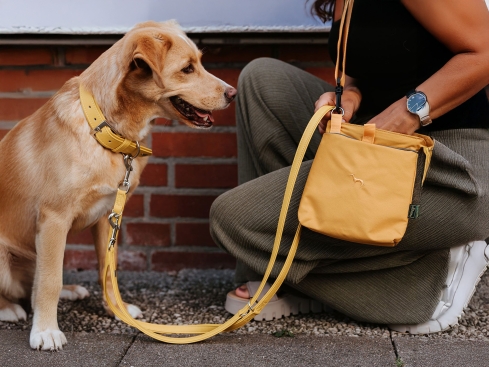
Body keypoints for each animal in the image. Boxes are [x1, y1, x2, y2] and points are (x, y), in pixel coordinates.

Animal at [0, 20, 236, 350]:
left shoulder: (107, 216)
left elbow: (107, 270)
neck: (106, 132)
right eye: (187, 69)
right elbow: (49, 281)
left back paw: (70, 290)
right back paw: (9, 309)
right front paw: (45, 331)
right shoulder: (53, 219)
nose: (233, 93)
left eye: (199, 63)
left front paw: (117, 310)